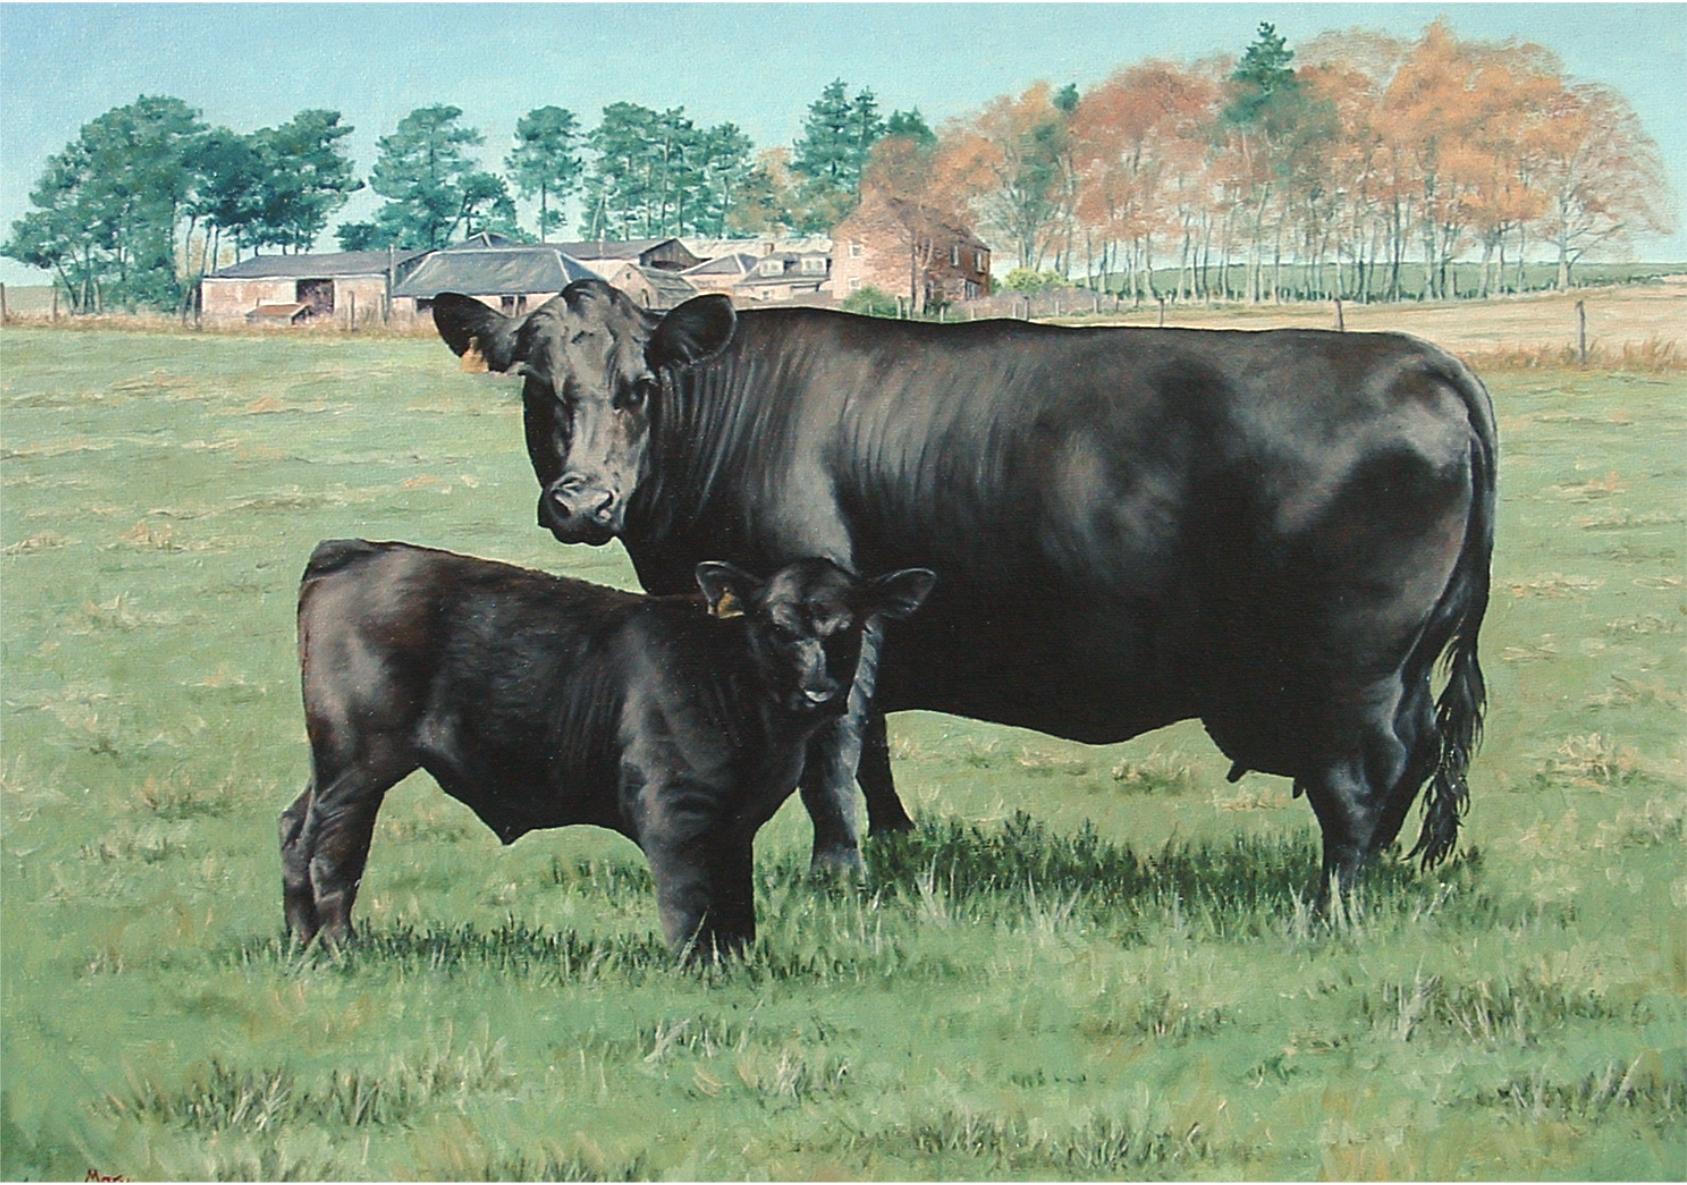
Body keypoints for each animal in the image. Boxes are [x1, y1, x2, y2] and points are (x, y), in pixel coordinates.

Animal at [278, 539, 935, 956]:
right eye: (776, 626)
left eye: (848, 626)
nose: (818, 690)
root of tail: (358, 551)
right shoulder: (674, 808)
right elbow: (689, 902)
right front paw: (696, 968)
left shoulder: (734, 823)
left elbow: (735, 904)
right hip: (358, 764)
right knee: (332, 850)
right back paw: (342, 946)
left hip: (331, 765)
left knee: (294, 830)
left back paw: (300, 941)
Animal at [430, 280, 1494, 899]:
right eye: (538, 386)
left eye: (639, 385)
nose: (582, 500)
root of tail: (1418, 358)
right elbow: (871, 749)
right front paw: (896, 845)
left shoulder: (829, 609)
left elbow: (832, 750)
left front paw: (836, 873)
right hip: (1401, 661)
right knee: (1410, 756)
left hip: (1351, 662)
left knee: (1361, 773)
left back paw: (1334, 897)